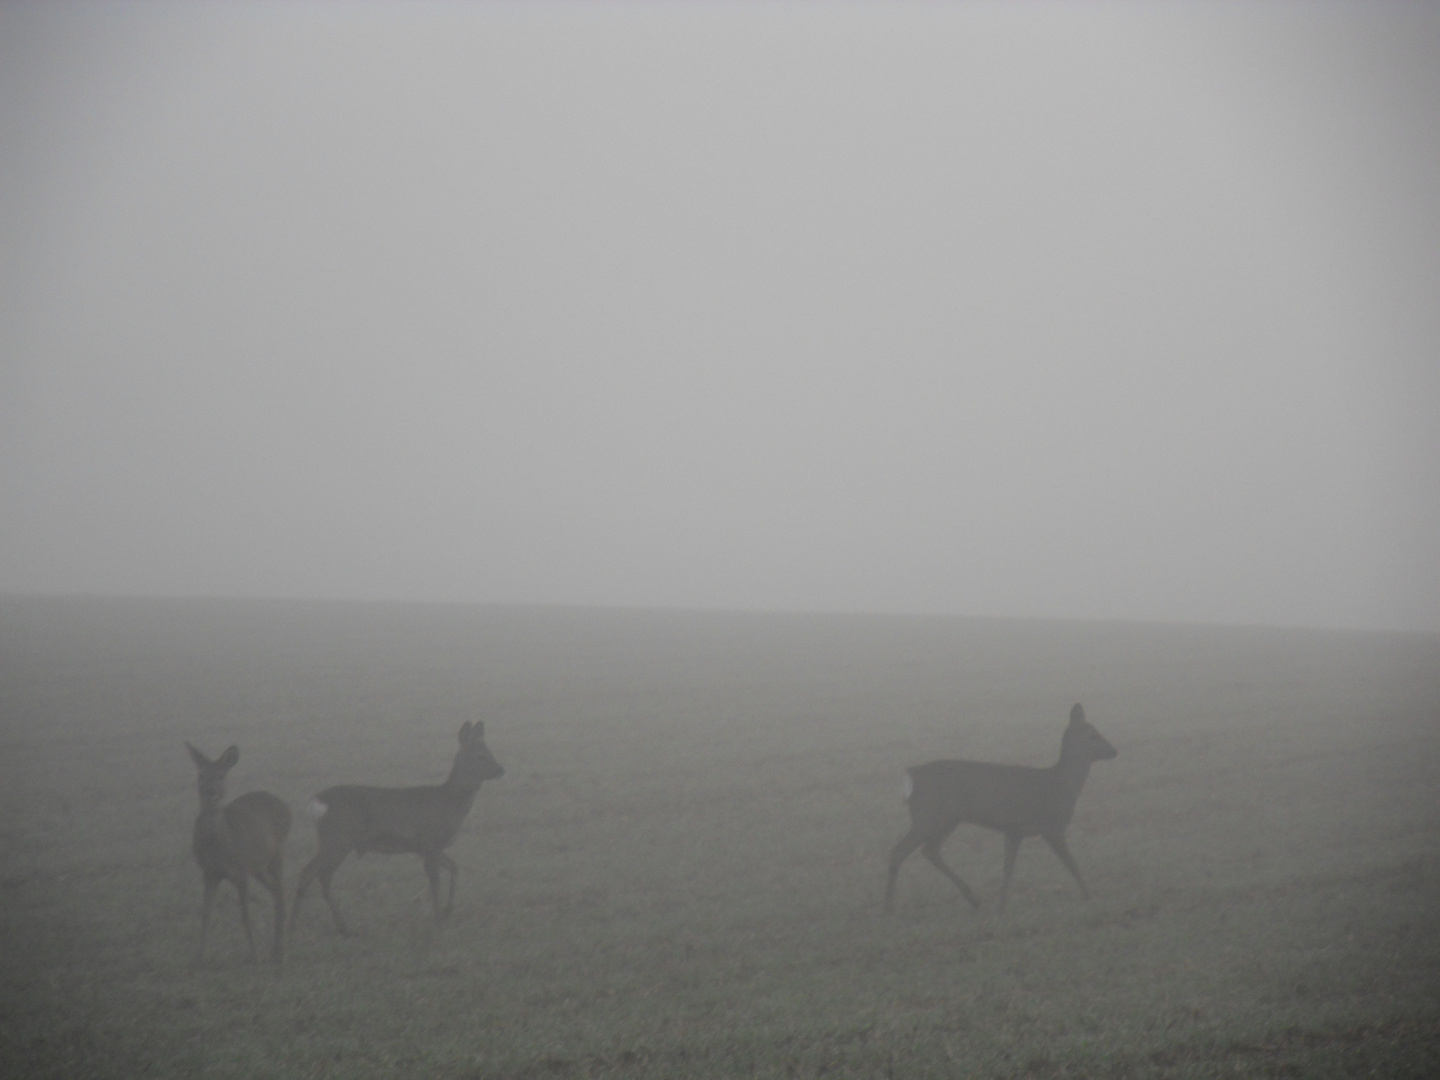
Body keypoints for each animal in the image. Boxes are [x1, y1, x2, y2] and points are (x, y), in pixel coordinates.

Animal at [185, 748, 292, 967]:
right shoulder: (209, 872)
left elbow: (245, 914)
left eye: (221, 775)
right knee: (281, 892)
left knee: (281, 892)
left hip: (277, 854)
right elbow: (206, 913)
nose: (210, 790)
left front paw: (254, 957)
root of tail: (288, 808)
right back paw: (276, 947)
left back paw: (280, 952)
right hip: (259, 867)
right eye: (201, 775)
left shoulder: (240, 871)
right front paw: (199, 958)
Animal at [289, 720, 504, 938]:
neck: (450, 803)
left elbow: (454, 868)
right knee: (309, 874)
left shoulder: (428, 848)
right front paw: (438, 921)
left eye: (489, 751)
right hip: (337, 839)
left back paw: (341, 927)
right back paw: (295, 926)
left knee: (321, 877)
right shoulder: (428, 841)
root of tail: (315, 803)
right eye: (481, 756)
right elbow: (435, 883)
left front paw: (446, 912)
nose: (500, 769)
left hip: (335, 842)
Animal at [881, 705, 1117, 915]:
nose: (1114, 751)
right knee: (899, 851)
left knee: (930, 851)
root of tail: (912, 774)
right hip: (930, 816)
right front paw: (1088, 895)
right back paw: (889, 909)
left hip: (946, 820)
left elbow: (1008, 868)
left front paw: (1002, 907)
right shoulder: (1051, 827)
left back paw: (973, 899)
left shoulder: (1014, 830)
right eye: (1093, 736)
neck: (1062, 785)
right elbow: (1071, 863)